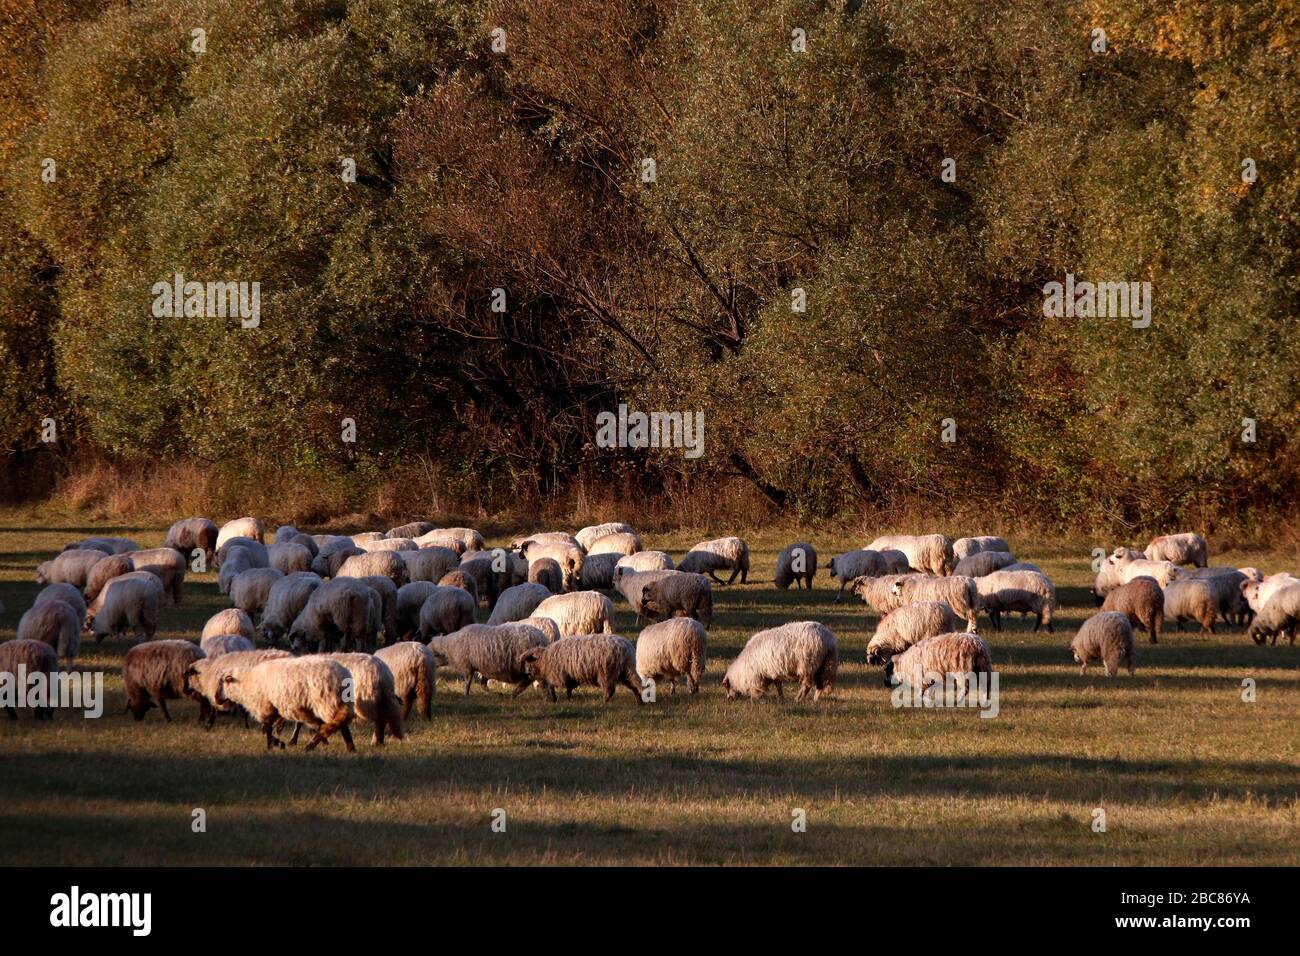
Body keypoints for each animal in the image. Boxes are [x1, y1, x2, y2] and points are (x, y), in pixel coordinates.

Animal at [216, 655, 356, 751]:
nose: (217, 699)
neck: (246, 683)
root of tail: (342, 675)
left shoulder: (265, 706)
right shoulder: (273, 708)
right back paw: (349, 748)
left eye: (222, 681)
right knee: (336, 724)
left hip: (327, 701)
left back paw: (311, 746)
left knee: (338, 724)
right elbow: (268, 729)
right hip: (335, 702)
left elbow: (267, 728)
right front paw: (279, 743)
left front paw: (272, 746)